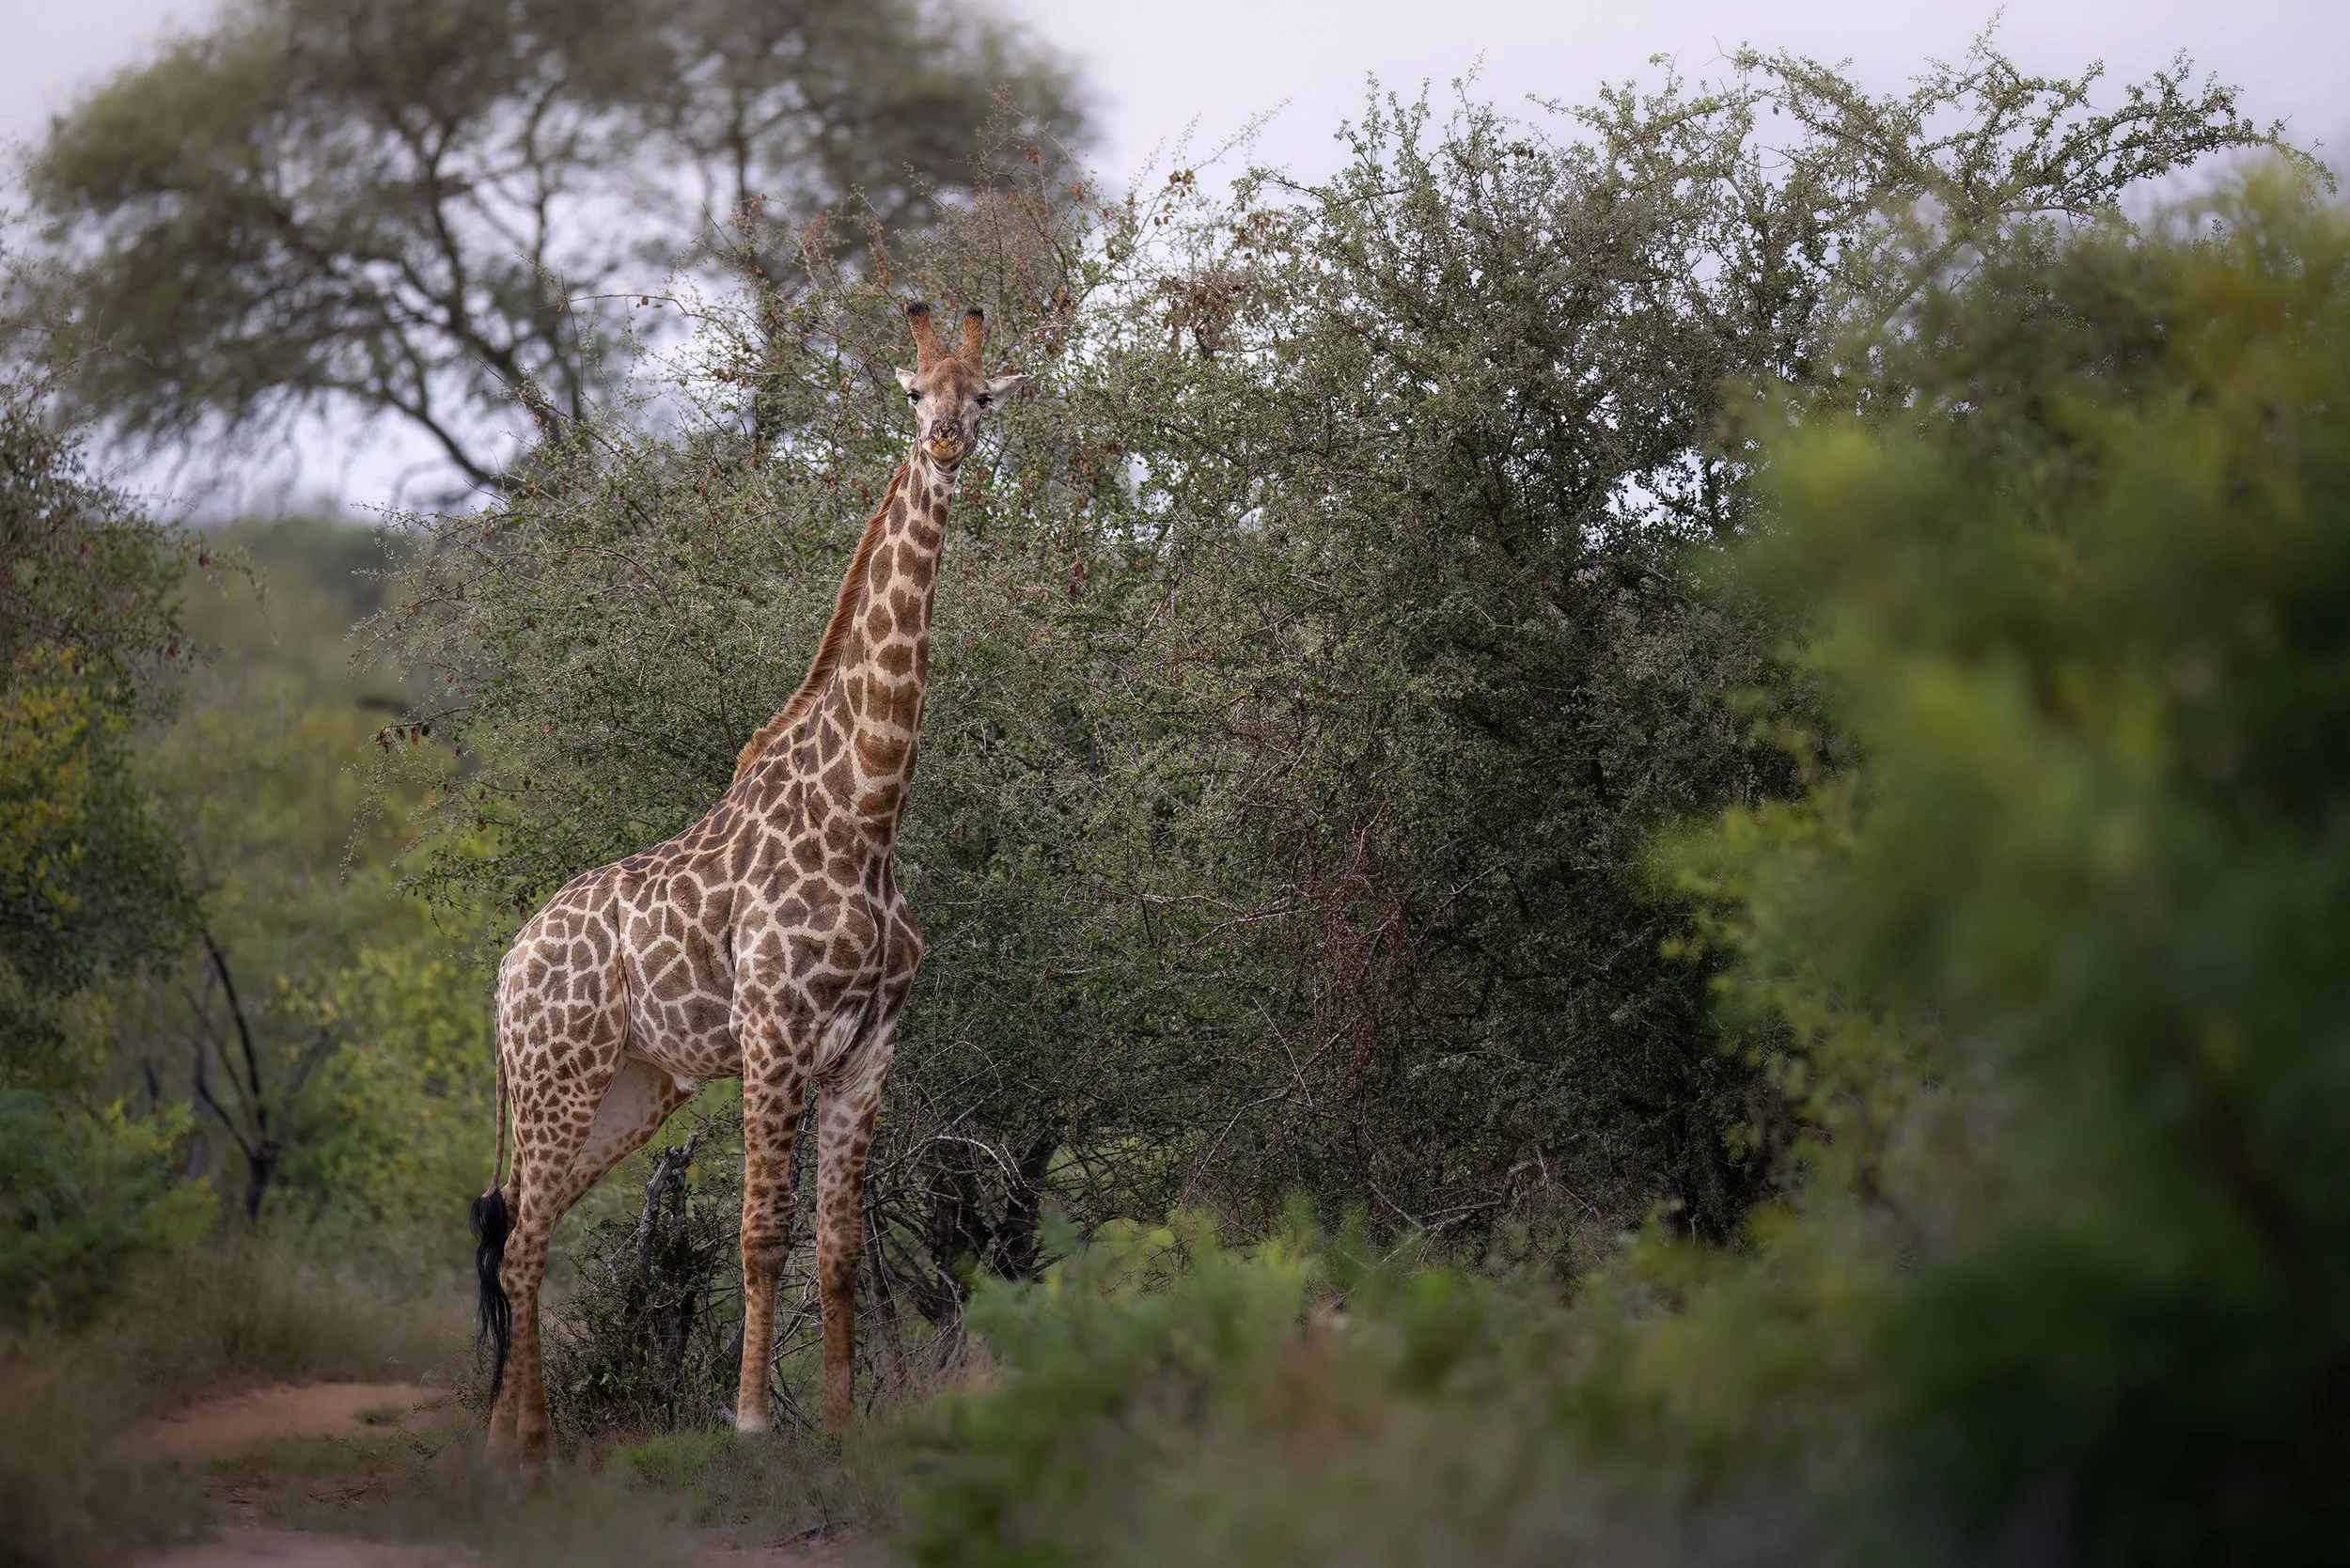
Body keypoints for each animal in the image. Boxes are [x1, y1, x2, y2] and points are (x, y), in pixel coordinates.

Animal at [470, 301, 1020, 1464]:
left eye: (984, 395)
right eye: (915, 391)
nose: (947, 443)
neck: (867, 808)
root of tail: (505, 965)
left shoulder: (869, 1046)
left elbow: (839, 1247)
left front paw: (842, 1421)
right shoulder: (774, 1031)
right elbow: (762, 1235)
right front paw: (756, 1420)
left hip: (631, 1088)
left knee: (527, 1229)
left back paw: (513, 1437)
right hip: (556, 1077)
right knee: (519, 1240)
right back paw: (526, 1441)